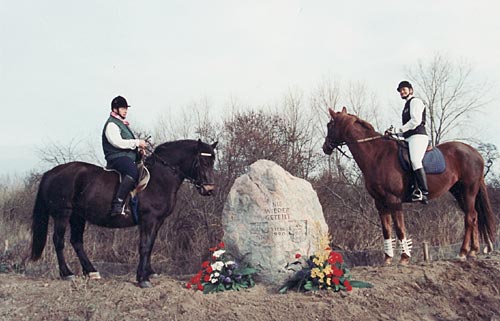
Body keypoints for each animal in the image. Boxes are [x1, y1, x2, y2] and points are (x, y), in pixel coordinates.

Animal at [30, 139, 217, 286]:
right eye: (201, 161)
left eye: (212, 162)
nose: (209, 189)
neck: (160, 178)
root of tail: (51, 172)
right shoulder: (149, 219)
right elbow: (145, 245)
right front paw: (142, 278)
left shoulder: (157, 221)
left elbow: (150, 244)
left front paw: (149, 272)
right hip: (62, 214)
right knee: (58, 241)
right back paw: (67, 273)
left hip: (78, 216)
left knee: (76, 242)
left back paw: (91, 271)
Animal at [322, 106, 494, 264]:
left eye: (329, 125)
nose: (325, 148)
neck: (377, 155)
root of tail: (475, 153)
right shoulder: (380, 202)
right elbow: (386, 230)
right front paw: (387, 259)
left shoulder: (394, 200)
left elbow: (399, 228)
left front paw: (404, 257)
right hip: (458, 192)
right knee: (473, 216)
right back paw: (473, 251)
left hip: (468, 191)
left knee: (469, 217)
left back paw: (463, 252)